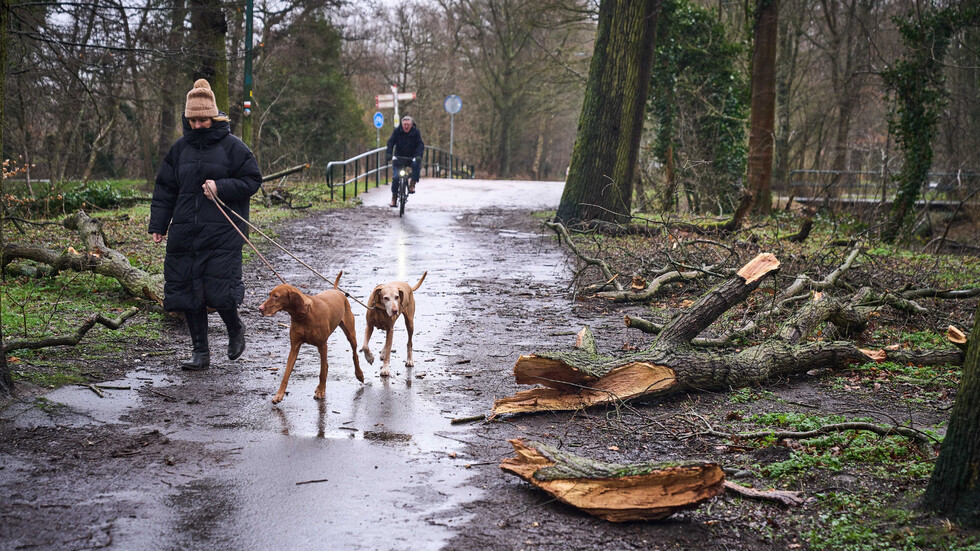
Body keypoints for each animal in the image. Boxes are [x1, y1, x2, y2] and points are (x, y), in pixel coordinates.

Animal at [258, 272, 366, 406]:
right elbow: (286, 374)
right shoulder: (294, 347)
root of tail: (336, 290)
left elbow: (321, 373)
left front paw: (320, 391)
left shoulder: (322, 345)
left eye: (276, 296)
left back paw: (359, 374)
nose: (260, 308)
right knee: (326, 365)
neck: (304, 316)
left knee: (354, 355)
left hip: (350, 334)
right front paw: (279, 395)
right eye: (269, 294)